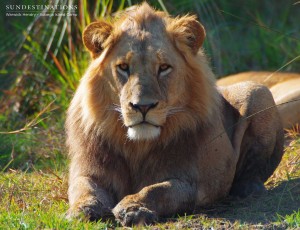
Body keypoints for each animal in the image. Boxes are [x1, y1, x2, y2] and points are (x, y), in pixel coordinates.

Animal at [65, 2, 284, 226]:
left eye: (164, 67)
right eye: (123, 67)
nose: (142, 106)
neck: (138, 147)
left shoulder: (191, 182)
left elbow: (157, 190)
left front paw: (133, 207)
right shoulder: (88, 169)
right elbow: (84, 188)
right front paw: (82, 209)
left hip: (258, 91)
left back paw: (247, 189)